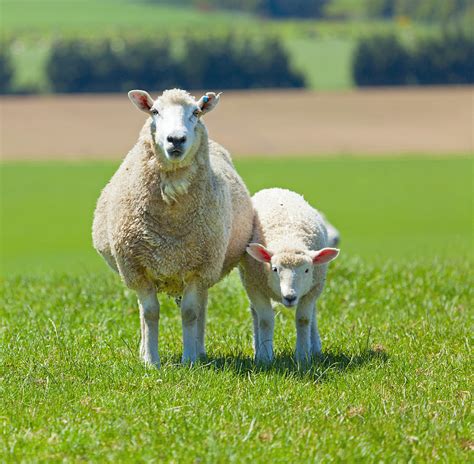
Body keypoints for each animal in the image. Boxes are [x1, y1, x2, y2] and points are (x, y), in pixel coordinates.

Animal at [93, 89, 256, 366]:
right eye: (155, 111)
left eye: (196, 112)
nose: (176, 139)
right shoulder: (137, 268)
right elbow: (150, 313)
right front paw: (150, 361)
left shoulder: (199, 268)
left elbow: (190, 313)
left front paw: (189, 360)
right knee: (143, 311)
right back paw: (144, 350)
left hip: (208, 268)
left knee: (201, 307)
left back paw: (199, 350)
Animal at [239, 188, 338, 362]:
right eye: (274, 269)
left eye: (307, 270)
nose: (290, 297)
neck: (288, 239)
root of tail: (276, 189)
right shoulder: (254, 286)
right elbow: (265, 320)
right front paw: (265, 357)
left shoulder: (313, 289)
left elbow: (304, 319)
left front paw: (303, 356)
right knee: (255, 313)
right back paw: (257, 348)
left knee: (312, 315)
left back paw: (315, 348)